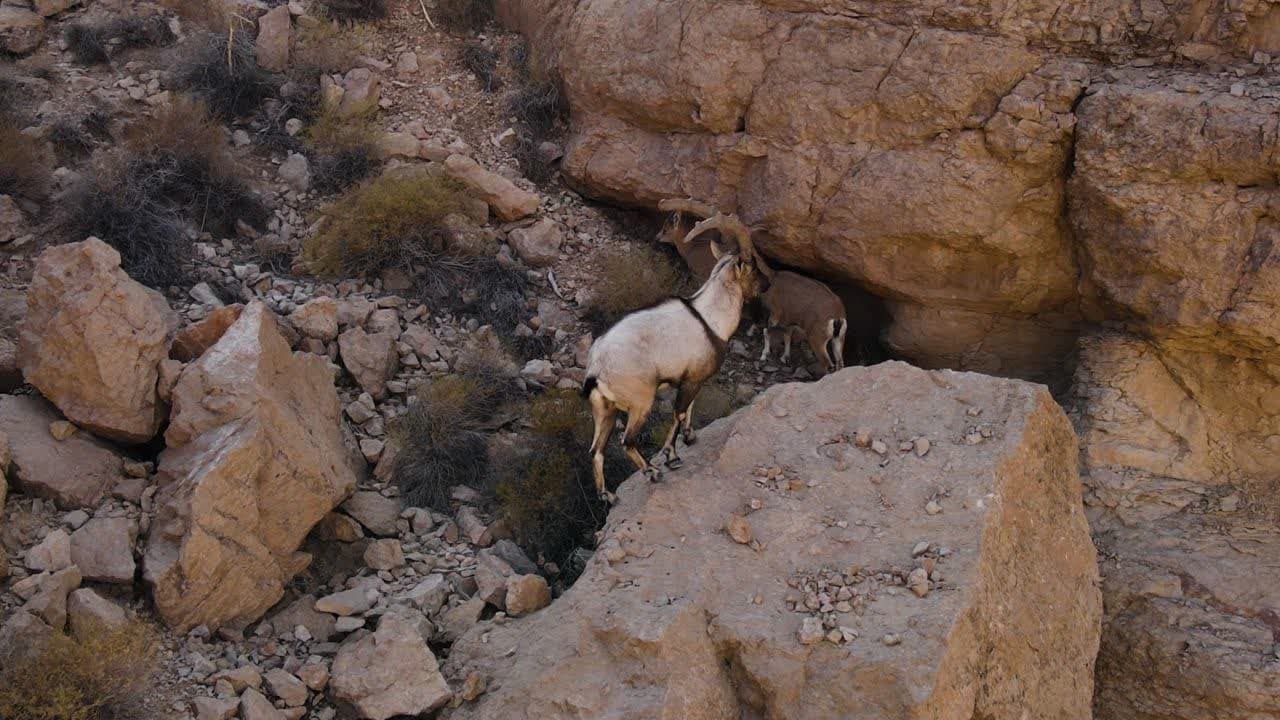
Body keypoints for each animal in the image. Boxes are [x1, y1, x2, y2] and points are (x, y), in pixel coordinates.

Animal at [586, 212, 762, 502]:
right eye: (753, 266)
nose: (766, 285)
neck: (710, 319)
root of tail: (596, 368)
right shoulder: (691, 381)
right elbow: (679, 413)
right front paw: (673, 457)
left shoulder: (692, 380)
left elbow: (688, 409)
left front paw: (690, 438)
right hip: (640, 403)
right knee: (627, 441)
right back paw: (653, 472)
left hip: (604, 410)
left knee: (596, 450)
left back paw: (608, 496)